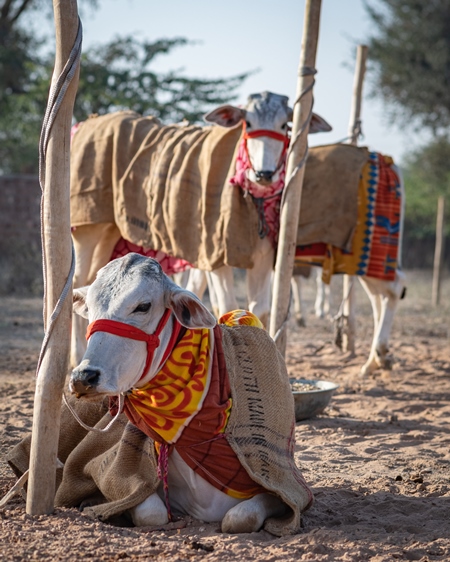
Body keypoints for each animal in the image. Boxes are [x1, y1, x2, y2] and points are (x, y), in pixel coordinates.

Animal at [69, 254, 312, 532]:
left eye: (143, 306)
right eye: (89, 307)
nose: (83, 377)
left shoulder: (286, 490)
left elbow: (240, 518)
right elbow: (151, 512)